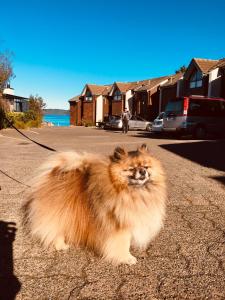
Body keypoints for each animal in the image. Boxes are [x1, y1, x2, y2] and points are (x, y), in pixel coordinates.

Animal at [23, 145, 166, 264]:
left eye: (146, 167)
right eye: (131, 169)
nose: (142, 171)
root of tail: (54, 173)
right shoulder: (119, 225)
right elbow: (123, 243)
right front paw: (127, 258)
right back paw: (61, 246)